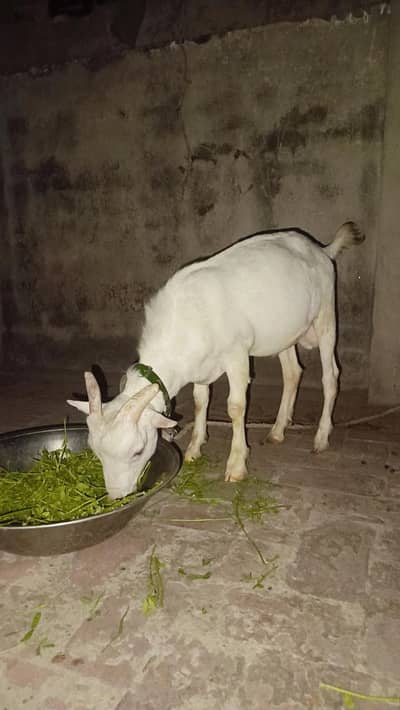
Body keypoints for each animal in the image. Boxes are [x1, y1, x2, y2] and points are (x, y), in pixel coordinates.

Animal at [68, 222, 365, 499]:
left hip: (326, 316)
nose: (117, 496)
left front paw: (236, 466)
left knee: (330, 376)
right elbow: (201, 401)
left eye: (137, 451)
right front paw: (194, 448)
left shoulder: (237, 355)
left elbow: (235, 407)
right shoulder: (200, 365)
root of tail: (321, 250)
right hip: (284, 332)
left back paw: (321, 437)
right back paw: (277, 431)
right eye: (96, 451)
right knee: (293, 372)